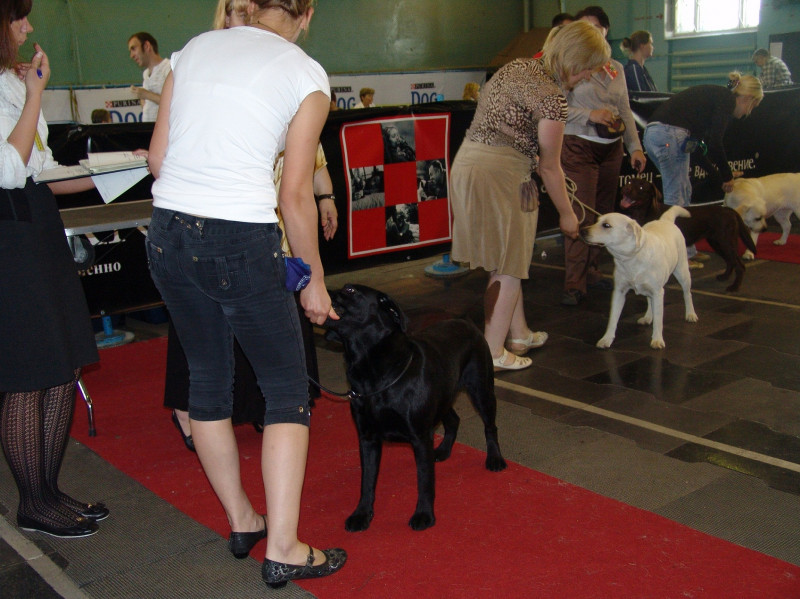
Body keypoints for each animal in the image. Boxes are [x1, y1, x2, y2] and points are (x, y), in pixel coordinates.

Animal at [324, 284, 506, 531]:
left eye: (350, 290)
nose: (314, 287)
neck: (374, 375)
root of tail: (464, 320)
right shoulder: (367, 438)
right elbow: (367, 482)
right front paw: (361, 514)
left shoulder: (420, 437)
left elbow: (425, 480)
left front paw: (424, 515)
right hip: (444, 396)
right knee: (453, 420)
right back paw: (443, 451)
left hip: (481, 390)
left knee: (490, 427)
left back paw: (495, 459)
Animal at [584, 207, 698, 349]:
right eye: (597, 221)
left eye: (606, 225)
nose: (582, 231)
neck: (631, 257)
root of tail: (665, 220)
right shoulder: (619, 292)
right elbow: (612, 319)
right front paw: (606, 339)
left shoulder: (658, 292)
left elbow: (659, 320)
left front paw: (657, 340)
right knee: (650, 300)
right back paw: (648, 317)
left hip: (682, 272)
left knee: (687, 294)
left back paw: (690, 314)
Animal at [619, 178, 756, 292]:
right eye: (629, 182)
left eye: (641, 187)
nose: (625, 189)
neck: (646, 212)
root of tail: (729, 210)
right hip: (716, 242)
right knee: (730, 261)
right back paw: (724, 276)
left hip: (725, 241)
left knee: (739, 265)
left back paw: (734, 287)